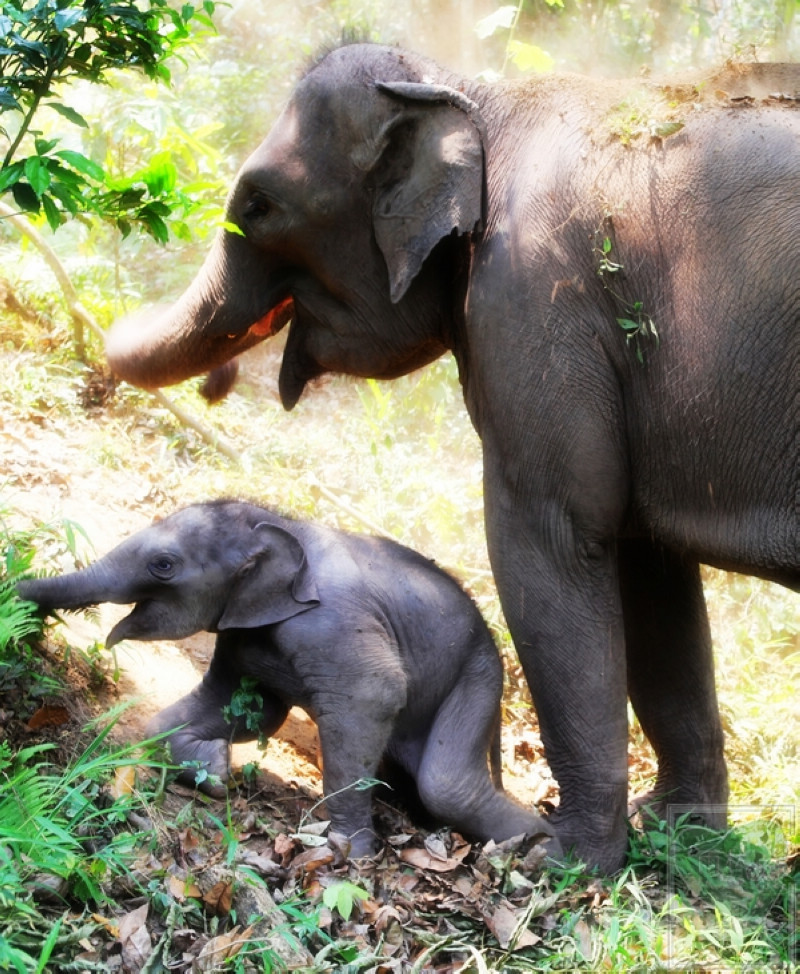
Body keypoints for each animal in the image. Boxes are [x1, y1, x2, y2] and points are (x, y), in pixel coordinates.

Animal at [16, 499, 557, 859]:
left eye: (163, 565)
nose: (16, 589)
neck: (280, 522)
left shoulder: (329, 622)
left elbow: (374, 694)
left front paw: (350, 852)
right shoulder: (244, 632)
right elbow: (239, 708)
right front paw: (215, 774)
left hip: (478, 676)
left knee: (446, 786)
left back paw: (557, 853)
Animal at [104, 46, 800, 870]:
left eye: (260, 203)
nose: (220, 387)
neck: (475, 93)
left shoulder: (533, 302)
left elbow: (554, 536)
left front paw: (564, 859)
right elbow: (648, 569)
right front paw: (678, 829)